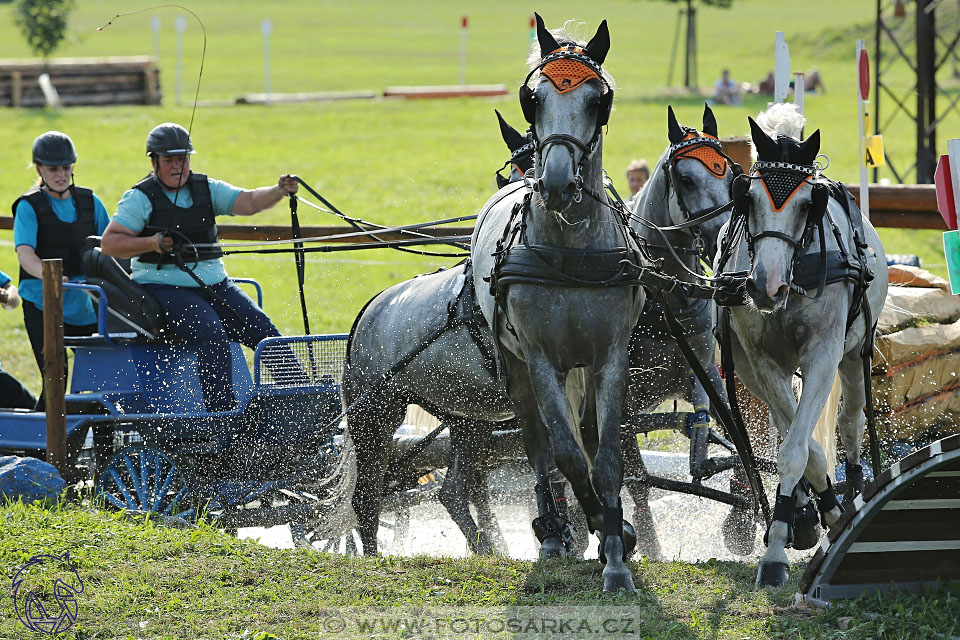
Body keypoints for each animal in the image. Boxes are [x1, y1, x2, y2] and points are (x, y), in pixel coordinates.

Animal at [472, 16, 644, 596]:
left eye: (598, 100)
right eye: (535, 99)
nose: (557, 183)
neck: (570, 249)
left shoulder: (610, 356)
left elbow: (605, 455)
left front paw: (616, 552)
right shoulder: (543, 361)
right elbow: (566, 454)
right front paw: (597, 525)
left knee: (587, 432)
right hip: (522, 372)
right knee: (540, 445)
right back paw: (552, 531)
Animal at [716, 107, 888, 588]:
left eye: (808, 204)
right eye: (747, 197)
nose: (764, 286)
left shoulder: (825, 356)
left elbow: (798, 449)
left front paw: (782, 548)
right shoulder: (763, 362)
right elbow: (802, 448)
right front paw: (797, 524)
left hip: (853, 356)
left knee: (850, 422)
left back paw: (852, 491)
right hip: (749, 371)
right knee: (788, 424)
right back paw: (815, 510)